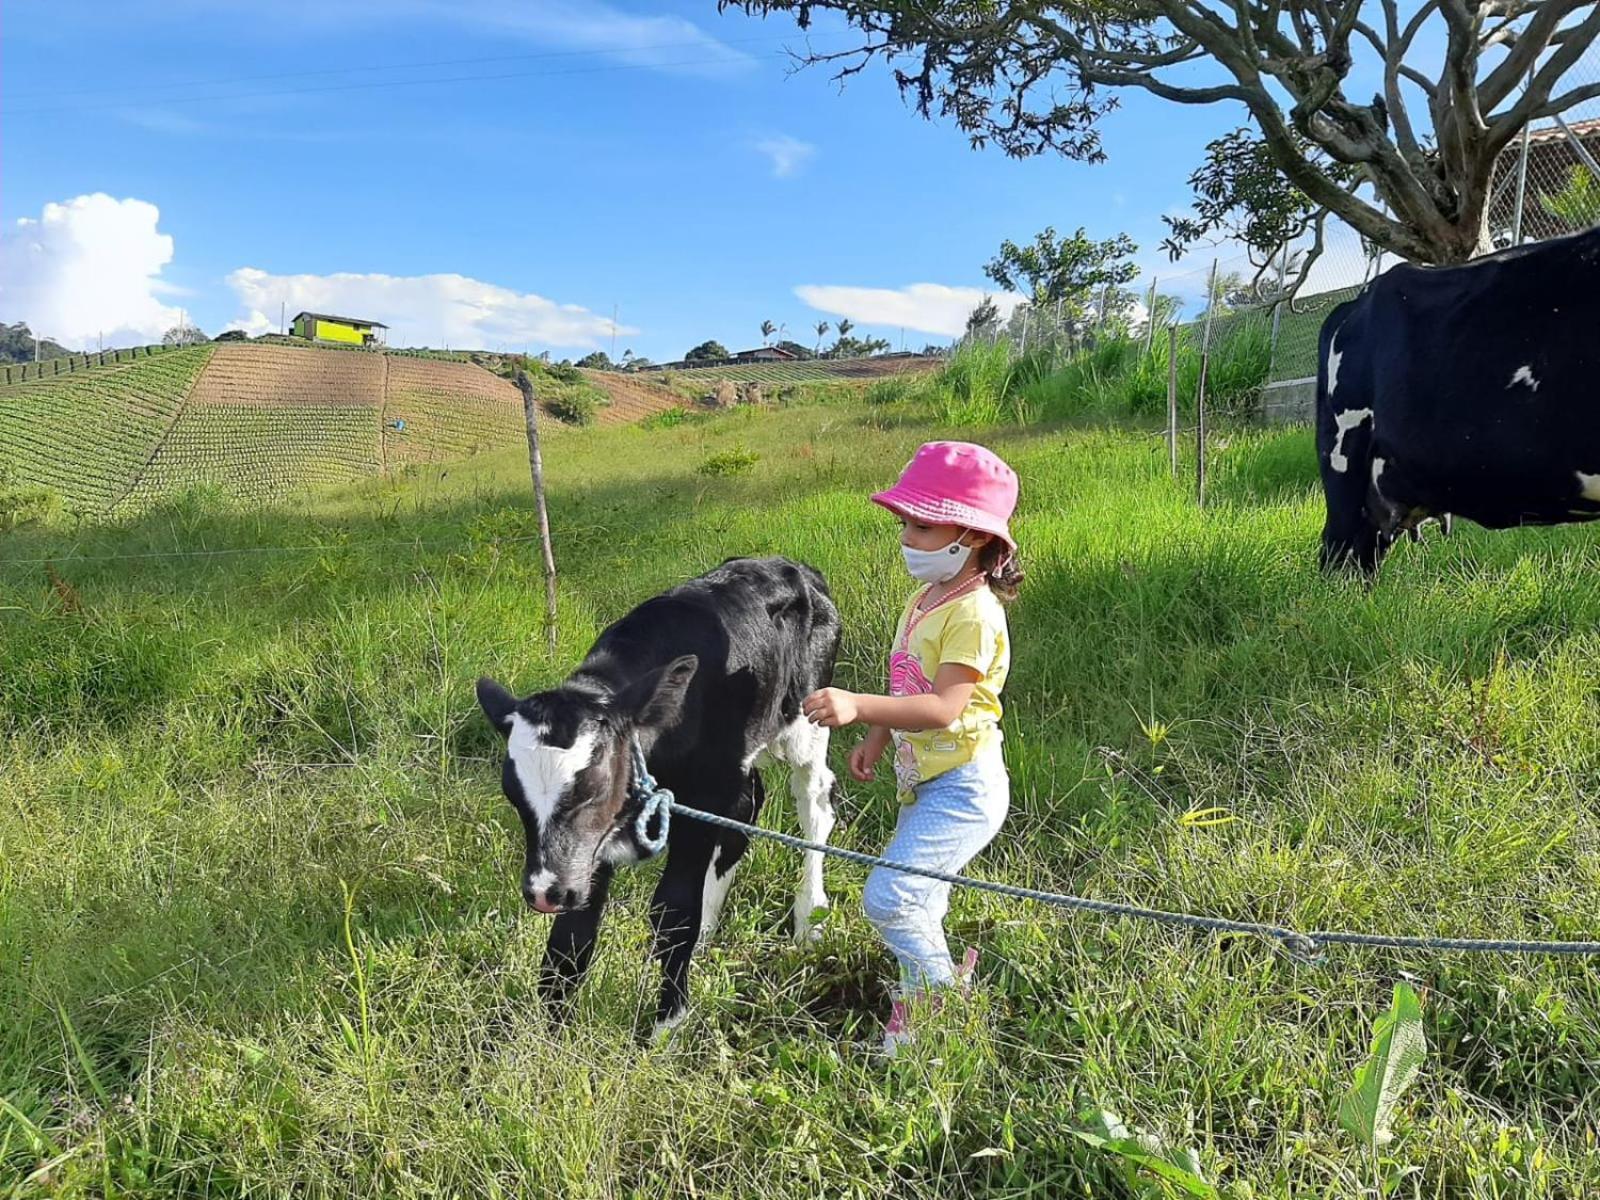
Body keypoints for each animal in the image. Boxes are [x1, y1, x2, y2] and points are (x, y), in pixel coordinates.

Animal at [473, 560, 844, 1036]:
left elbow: (673, 912)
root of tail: (792, 567)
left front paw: (666, 1023)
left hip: (807, 723)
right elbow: (573, 934)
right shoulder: (594, 844)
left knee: (815, 805)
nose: (542, 893)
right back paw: (708, 929)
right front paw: (548, 1028)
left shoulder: (701, 798)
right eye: (513, 795)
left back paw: (808, 917)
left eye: (592, 788)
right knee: (748, 804)